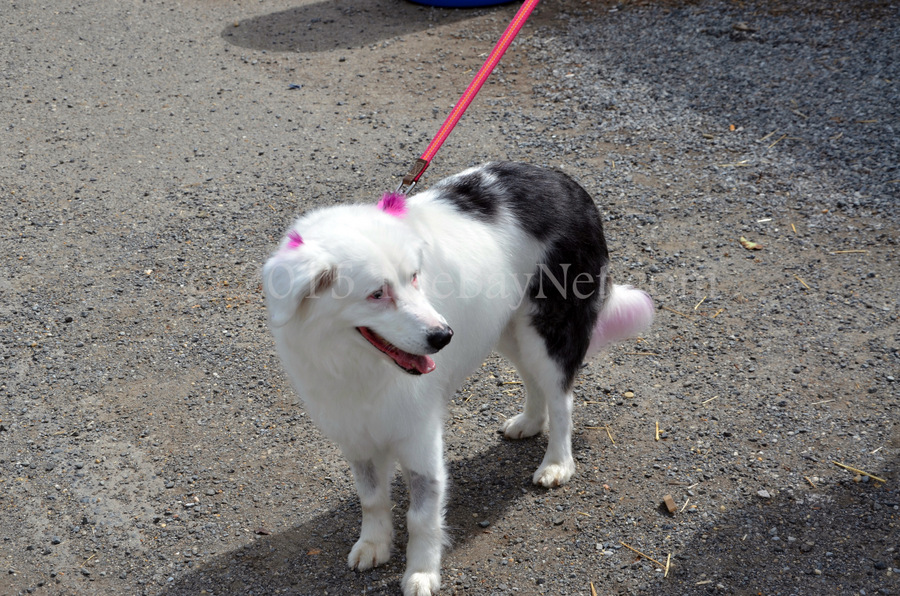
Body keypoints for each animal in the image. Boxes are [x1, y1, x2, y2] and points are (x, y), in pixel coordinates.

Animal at [262, 162, 654, 596]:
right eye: (377, 294)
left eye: (414, 277)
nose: (443, 336)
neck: (355, 363)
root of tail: (562, 179)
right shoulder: (356, 436)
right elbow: (371, 497)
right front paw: (374, 544)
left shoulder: (419, 436)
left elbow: (421, 515)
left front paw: (421, 573)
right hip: (506, 326)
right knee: (532, 379)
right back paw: (530, 423)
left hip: (547, 328)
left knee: (561, 397)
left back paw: (557, 463)